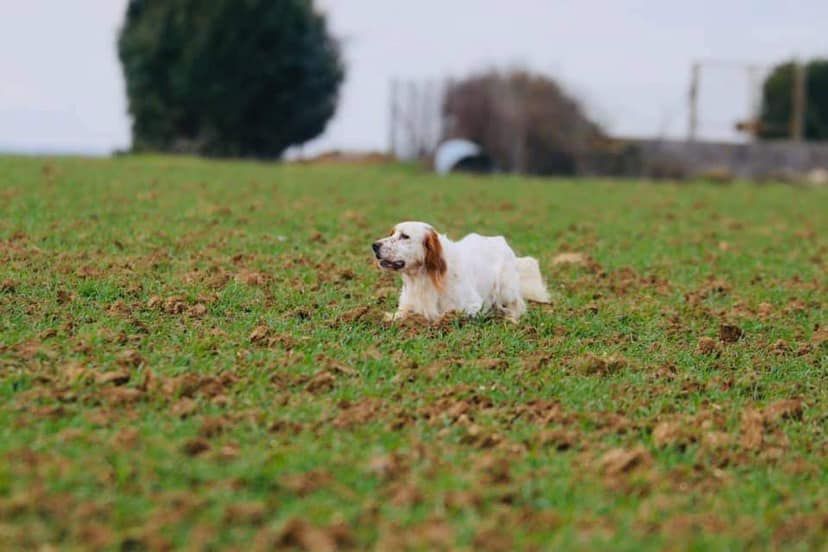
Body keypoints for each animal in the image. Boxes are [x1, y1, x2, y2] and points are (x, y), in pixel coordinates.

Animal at [376, 221, 548, 324]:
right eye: (392, 234)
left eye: (405, 236)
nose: (374, 245)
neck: (424, 277)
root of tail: (500, 240)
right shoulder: (406, 305)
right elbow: (400, 314)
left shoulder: (472, 305)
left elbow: (444, 315)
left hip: (506, 290)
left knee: (518, 305)